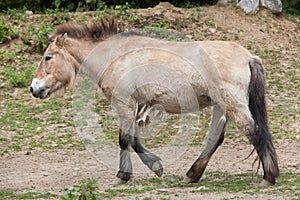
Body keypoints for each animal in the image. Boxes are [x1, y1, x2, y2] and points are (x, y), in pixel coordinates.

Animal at [29, 18, 278, 184]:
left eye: (48, 57)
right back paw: (192, 175)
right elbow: (135, 140)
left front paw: (123, 175)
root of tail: (249, 57)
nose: (34, 88)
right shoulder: (139, 106)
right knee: (215, 139)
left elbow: (125, 139)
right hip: (220, 106)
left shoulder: (123, 103)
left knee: (254, 132)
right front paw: (154, 166)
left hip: (233, 105)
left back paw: (269, 177)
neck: (114, 55)